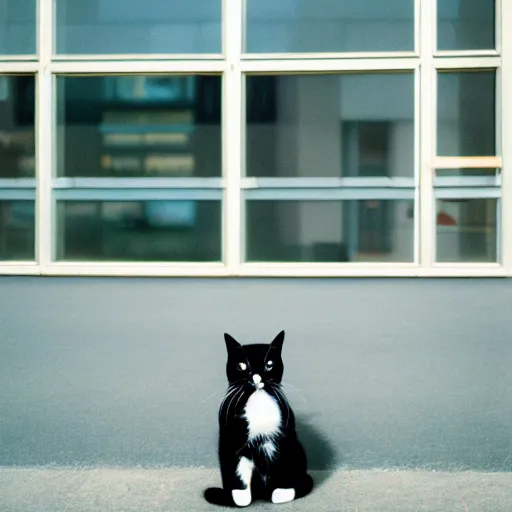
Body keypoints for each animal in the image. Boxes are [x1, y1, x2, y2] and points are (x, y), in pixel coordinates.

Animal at [204, 330, 312, 506]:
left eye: (269, 364)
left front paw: (280, 493)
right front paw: (240, 498)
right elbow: (238, 471)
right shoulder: (233, 441)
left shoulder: (282, 438)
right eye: (242, 365)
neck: (258, 402)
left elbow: (282, 464)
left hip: (298, 450)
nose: (257, 377)